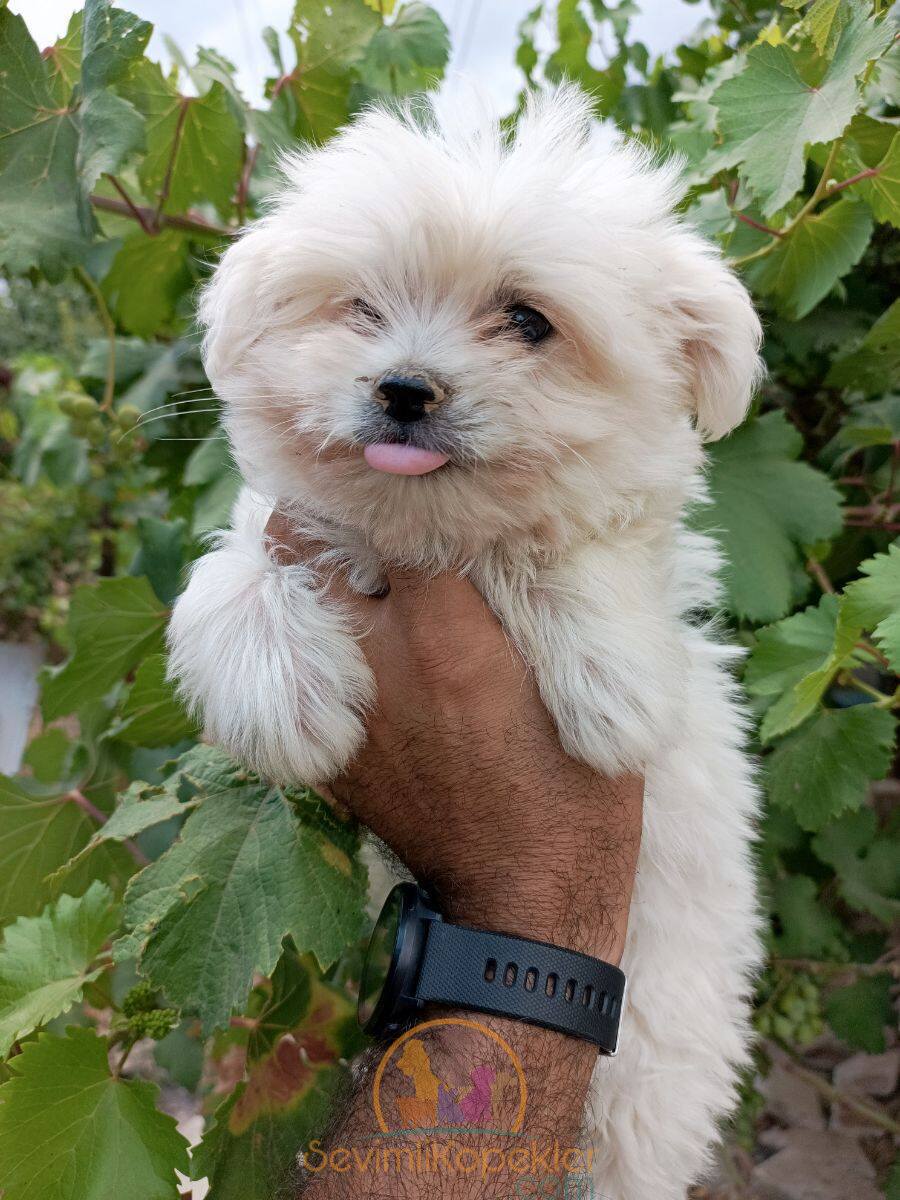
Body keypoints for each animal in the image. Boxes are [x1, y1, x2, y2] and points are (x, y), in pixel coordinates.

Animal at [168, 87, 763, 1200]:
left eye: (527, 321)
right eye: (360, 308)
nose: (405, 387)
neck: (430, 540)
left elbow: (583, 551)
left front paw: (613, 683)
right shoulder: (287, 524)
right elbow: (232, 580)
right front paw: (284, 691)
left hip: (656, 1071)